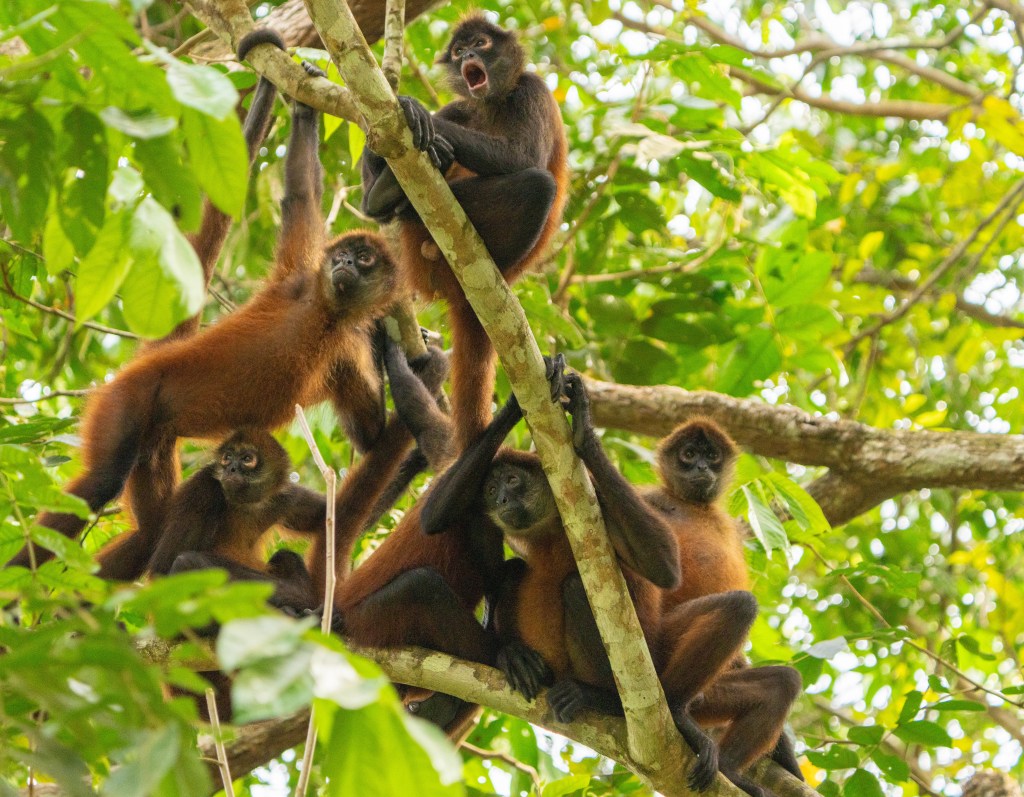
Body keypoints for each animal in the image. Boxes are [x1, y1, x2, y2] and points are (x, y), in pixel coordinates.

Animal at [12, 48, 400, 574]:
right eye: (341, 256)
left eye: (363, 260)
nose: (341, 265)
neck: (328, 316)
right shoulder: (299, 281)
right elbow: (300, 195)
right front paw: (304, 109)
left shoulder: (343, 344)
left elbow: (369, 435)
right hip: (128, 402)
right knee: (102, 482)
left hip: (154, 445)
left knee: (148, 532)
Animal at [361, 14, 569, 452]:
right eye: (459, 52)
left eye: (481, 43)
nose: (469, 55)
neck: (493, 101)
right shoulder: (463, 105)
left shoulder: (533, 90)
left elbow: (522, 158)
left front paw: (412, 107)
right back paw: (388, 191)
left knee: (538, 184)